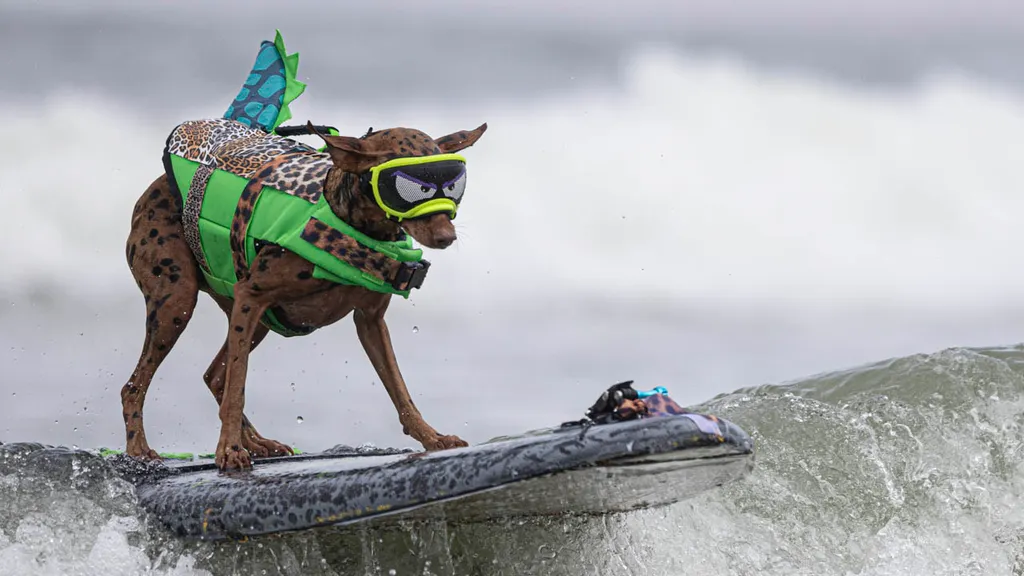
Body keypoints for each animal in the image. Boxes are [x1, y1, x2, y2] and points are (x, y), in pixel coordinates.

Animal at [119, 123, 487, 469]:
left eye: (453, 186)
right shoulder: (251, 295)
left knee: (214, 377)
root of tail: (150, 190)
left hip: (256, 321)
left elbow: (401, 391)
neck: (351, 224)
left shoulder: (370, 321)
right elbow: (238, 388)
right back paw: (141, 450)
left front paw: (432, 437)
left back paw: (258, 442)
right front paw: (229, 450)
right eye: (410, 188)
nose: (447, 236)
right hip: (178, 302)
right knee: (136, 386)